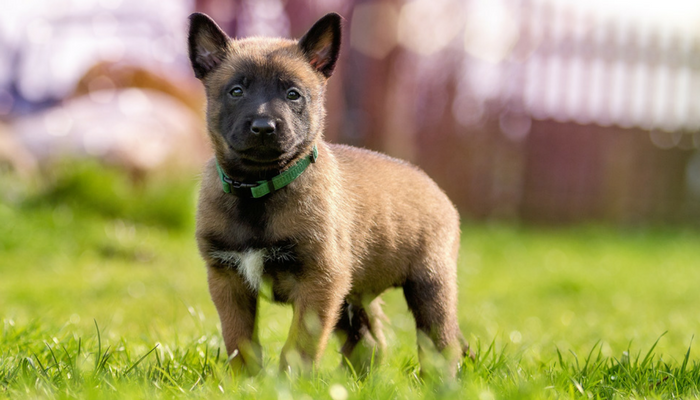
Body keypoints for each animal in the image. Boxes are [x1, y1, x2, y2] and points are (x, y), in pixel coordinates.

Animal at [189, 11, 468, 376]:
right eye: (236, 91)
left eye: (293, 94)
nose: (264, 127)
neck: (259, 190)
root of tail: (433, 186)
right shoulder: (228, 279)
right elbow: (240, 342)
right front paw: (244, 381)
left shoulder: (319, 281)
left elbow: (298, 346)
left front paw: (288, 382)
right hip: (353, 297)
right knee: (369, 343)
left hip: (430, 285)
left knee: (440, 344)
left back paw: (439, 380)